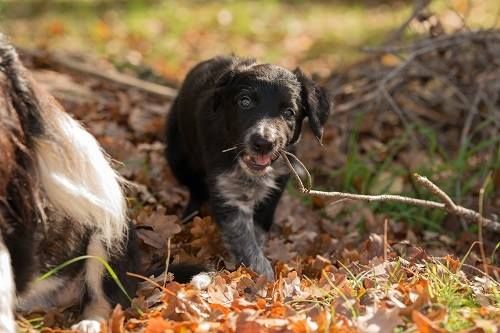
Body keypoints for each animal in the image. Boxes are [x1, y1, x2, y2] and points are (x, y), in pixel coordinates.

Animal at [166, 55, 332, 278]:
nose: (264, 143)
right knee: (195, 190)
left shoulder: (275, 186)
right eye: (244, 101)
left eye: (289, 112)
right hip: (178, 155)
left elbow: (258, 230)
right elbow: (243, 238)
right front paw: (263, 276)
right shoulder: (226, 189)